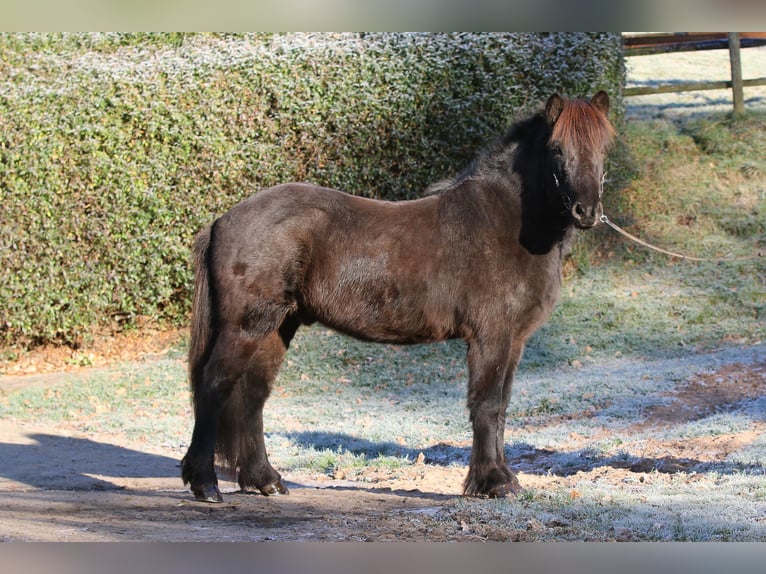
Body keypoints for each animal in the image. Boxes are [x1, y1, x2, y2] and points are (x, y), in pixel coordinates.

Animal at [181, 91, 615, 502]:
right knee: (214, 386)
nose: (587, 211)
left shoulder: (514, 341)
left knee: (252, 396)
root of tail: (222, 221)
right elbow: (488, 405)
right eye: (557, 148)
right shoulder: (491, 336)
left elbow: (502, 407)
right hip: (246, 326)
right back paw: (205, 484)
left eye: (604, 148)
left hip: (277, 326)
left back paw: (265, 480)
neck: (507, 223)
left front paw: (503, 478)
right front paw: (492, 482)